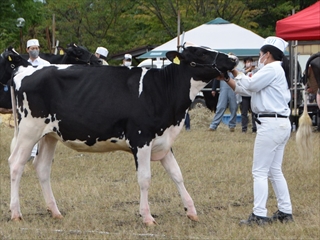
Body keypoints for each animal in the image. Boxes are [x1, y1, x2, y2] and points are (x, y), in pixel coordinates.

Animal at [8, 43, 238, 225]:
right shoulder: (141, 138)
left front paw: (191, 211)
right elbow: (145, 178)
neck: (162, 91)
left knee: (42, 168)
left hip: (49, 135)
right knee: (16, 164)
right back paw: (16, 213)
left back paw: (55, 212)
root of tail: (23, 72)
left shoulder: (163, 141)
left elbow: (177, 175)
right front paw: (147, 217)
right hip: (29, 130)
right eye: (201, 53)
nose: (234, 58)